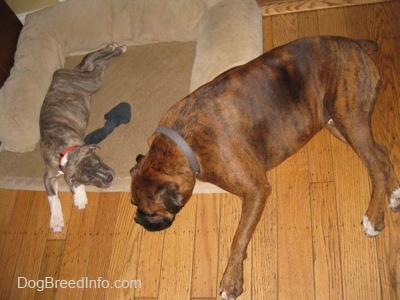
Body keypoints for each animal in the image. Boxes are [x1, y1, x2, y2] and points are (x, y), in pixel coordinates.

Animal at [39, 43, 126, 233]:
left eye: (99, 161)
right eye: (88, 180)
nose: (109, 178)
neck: (64, 153)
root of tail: (63, 72)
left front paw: (78, 196)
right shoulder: (48, 174)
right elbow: (52, 196)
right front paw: (56, 220)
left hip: (91, 82)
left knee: (96, 62)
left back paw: (116, 50)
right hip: (87, 78)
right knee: (91, 61)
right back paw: (112, 47)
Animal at [130, 36, 400, 298]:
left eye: (150, 212)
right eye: (134, 205)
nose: (137, 219)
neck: (182, 142)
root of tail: (354, 44)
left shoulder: (256, 190)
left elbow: (238, 238)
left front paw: (231, 280)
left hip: (349, 118)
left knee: (376, 167)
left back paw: (373, 217)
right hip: (336, 123)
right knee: (382, 155)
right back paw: (395, 195)